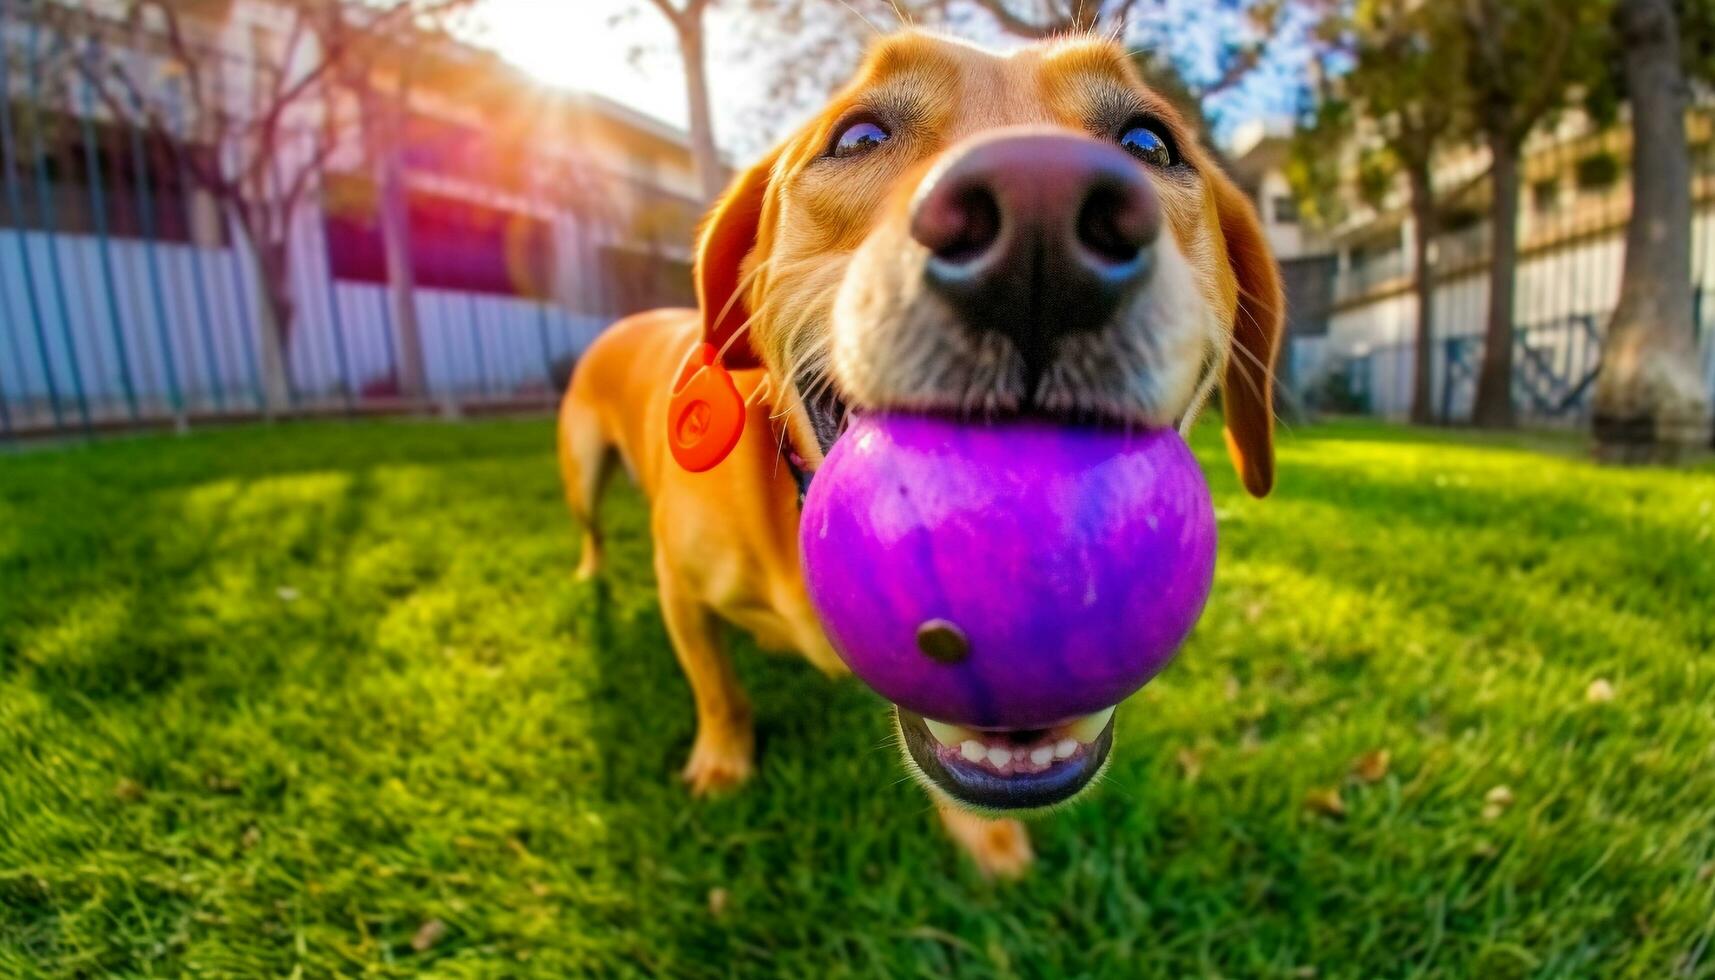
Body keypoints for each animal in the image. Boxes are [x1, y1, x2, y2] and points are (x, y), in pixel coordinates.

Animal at [562, 30, 1289, 878]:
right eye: (857, 137)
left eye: (1149, 142)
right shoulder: (679, 588)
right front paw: (721, 759)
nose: (1039, 215)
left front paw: (984, 838)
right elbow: (717, 689)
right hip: (581, 470)